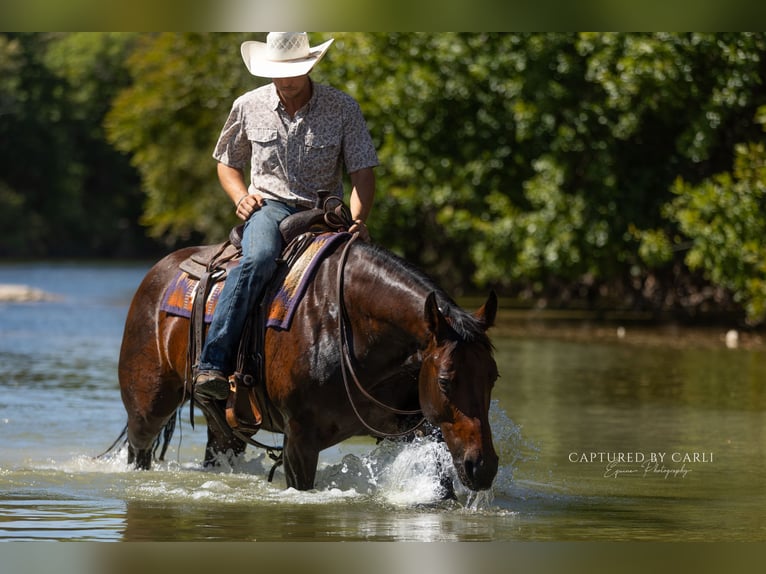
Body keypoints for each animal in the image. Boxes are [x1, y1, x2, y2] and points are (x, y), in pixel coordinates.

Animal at [116, 232, 499, 492]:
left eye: (492, 378)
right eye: (445, 380)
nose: (483, 467)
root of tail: (157, 273)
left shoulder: (411, 432)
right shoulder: (299, 441)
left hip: (227, 422)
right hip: (147, 409)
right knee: (140, 447)